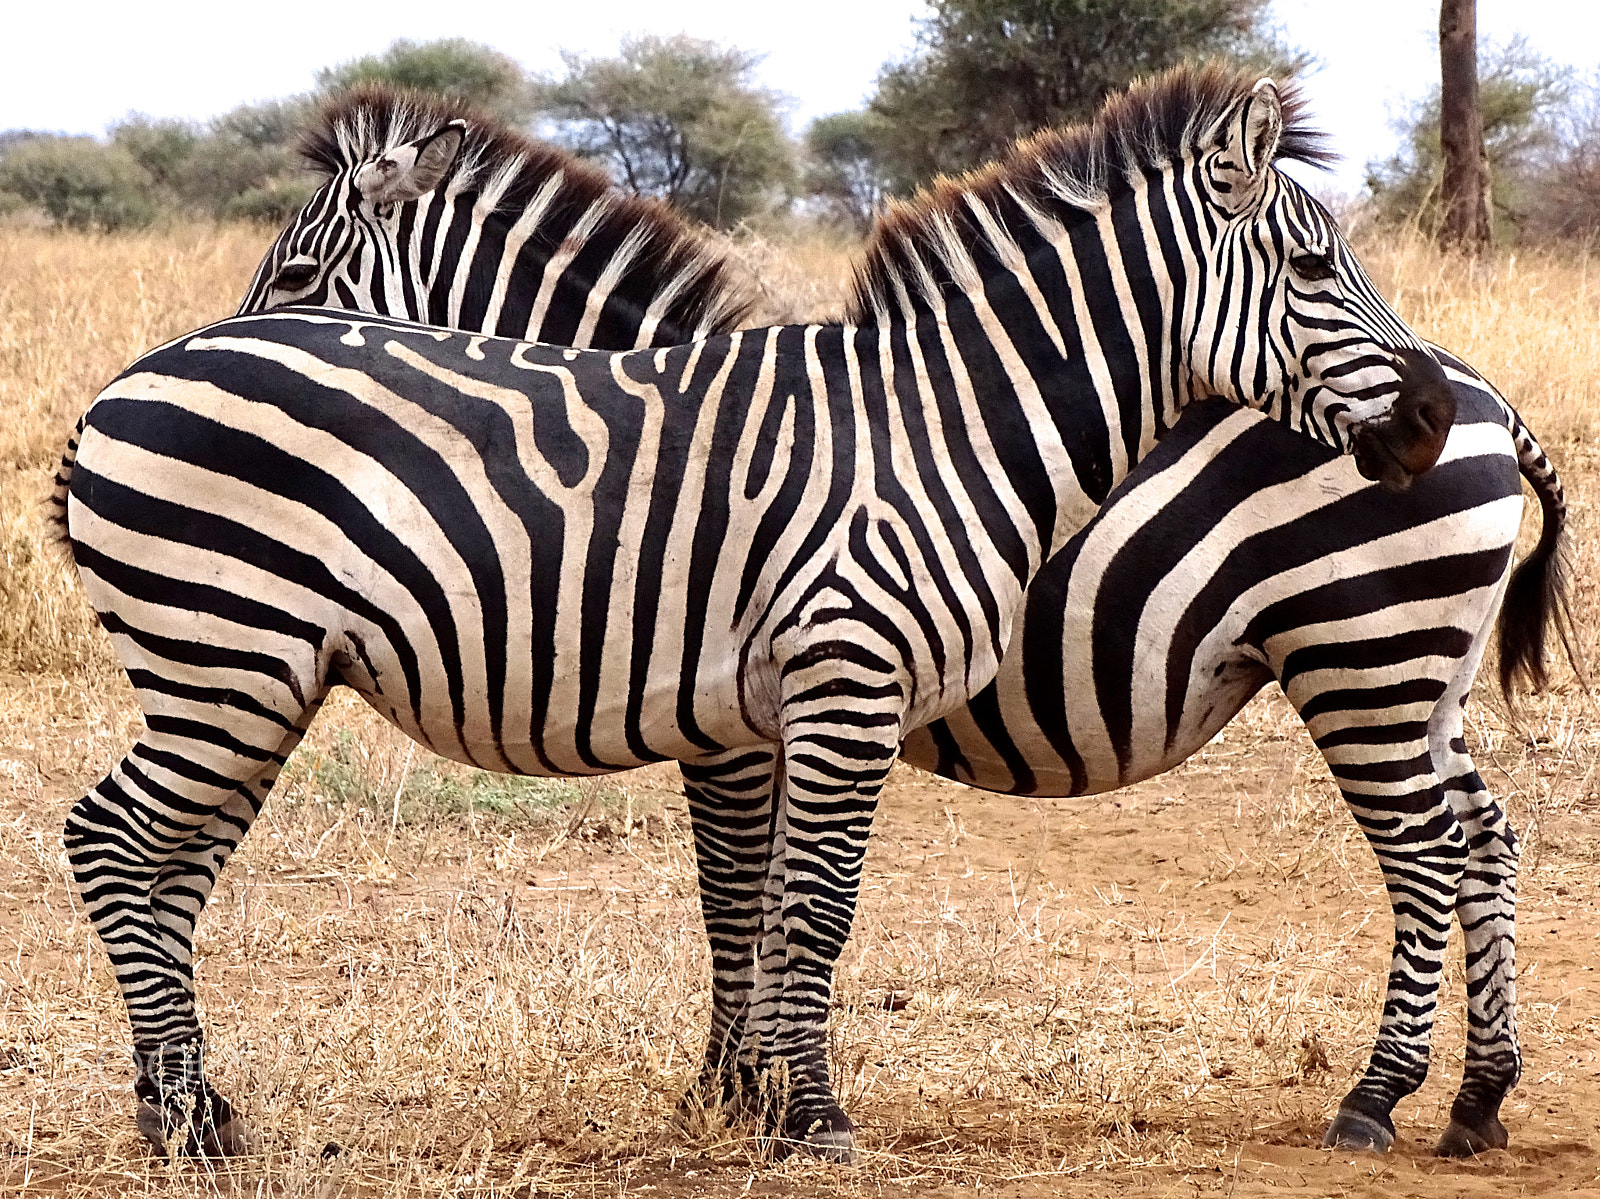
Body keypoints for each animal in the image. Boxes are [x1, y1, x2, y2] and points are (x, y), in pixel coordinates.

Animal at [59, 67, 1465, 1158]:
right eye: (1312, 264)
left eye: (300, 266)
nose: (1426, 416)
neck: (948, 425)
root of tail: (117, 392)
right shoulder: (828, 680)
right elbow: (793, 900)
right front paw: (800, 1111)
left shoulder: (777, 704)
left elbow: (769, 898)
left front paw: (762, 1097)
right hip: (229, 661)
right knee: (117, 839)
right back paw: (182, 1116)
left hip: (1378, 662)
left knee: (1449, 844)